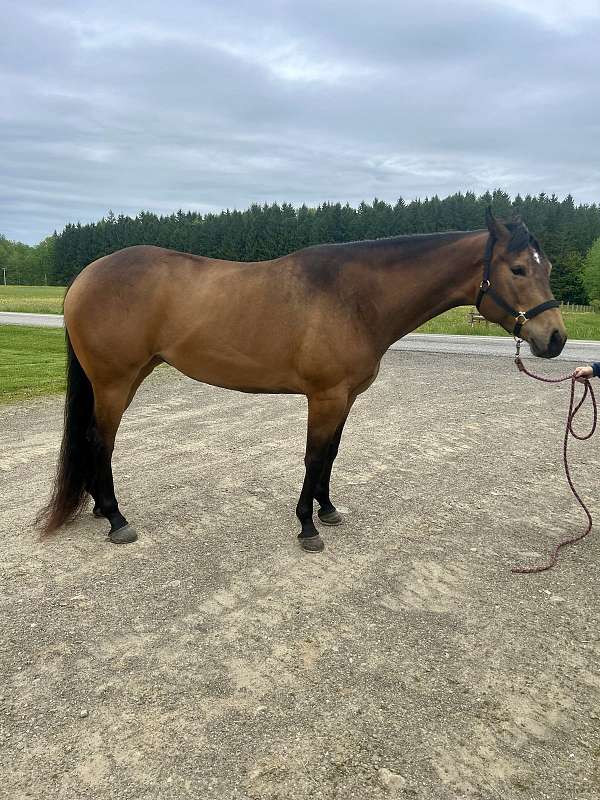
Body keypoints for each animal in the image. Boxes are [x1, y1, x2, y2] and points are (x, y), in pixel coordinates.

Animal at [38, 209, 566, 551]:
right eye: (518, 268)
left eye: (548, 267)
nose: (555, 338)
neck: (354, 297)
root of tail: (86, 276)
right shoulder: (325, 396)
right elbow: (314, 456)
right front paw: (307, 528)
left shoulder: (345, 397)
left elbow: (330, 454)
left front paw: (327, 511)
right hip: (114, 382)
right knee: (99, 441)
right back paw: (116, 519)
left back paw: (99, 510)